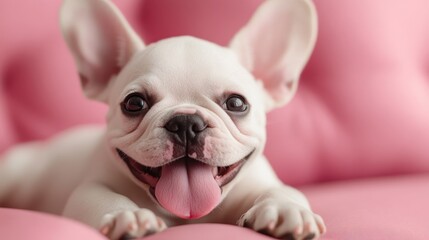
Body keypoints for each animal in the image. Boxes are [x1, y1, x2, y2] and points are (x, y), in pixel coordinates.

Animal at [0, 0, 324, 239]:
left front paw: (286, 210)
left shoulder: (259, 181)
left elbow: (285, 190)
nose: (186, 123)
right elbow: (100, 197)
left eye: (236, 103)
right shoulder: (91, 188)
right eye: (134, 103)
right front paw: (127, 215)